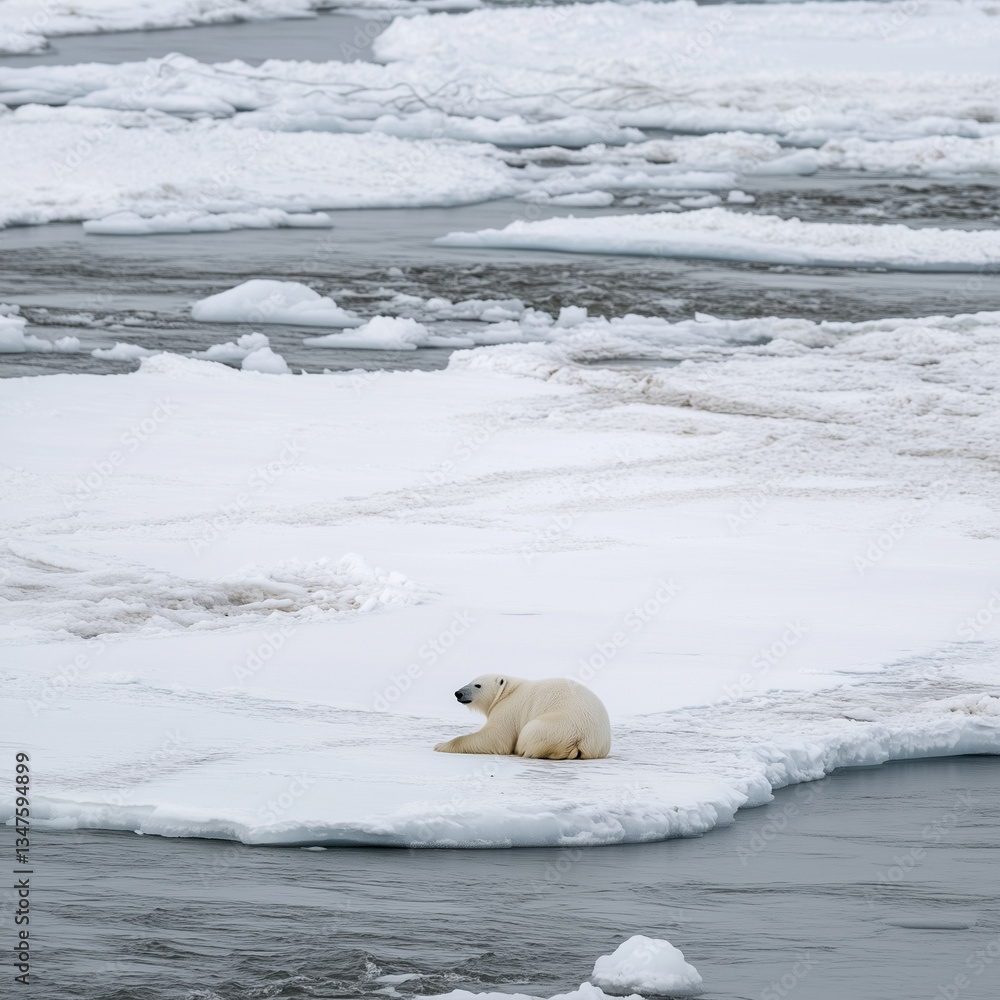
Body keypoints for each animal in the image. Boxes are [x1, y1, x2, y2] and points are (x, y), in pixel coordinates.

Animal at [434, 674, 611, 760]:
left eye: (478, 685)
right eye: (471, 681)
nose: (458, 693)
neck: (507, 692)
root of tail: (581, 739)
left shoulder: (508, 708)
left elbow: (495, 738)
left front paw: (441, 745)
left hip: (556, 727)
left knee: (531, 732)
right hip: (597, 744)